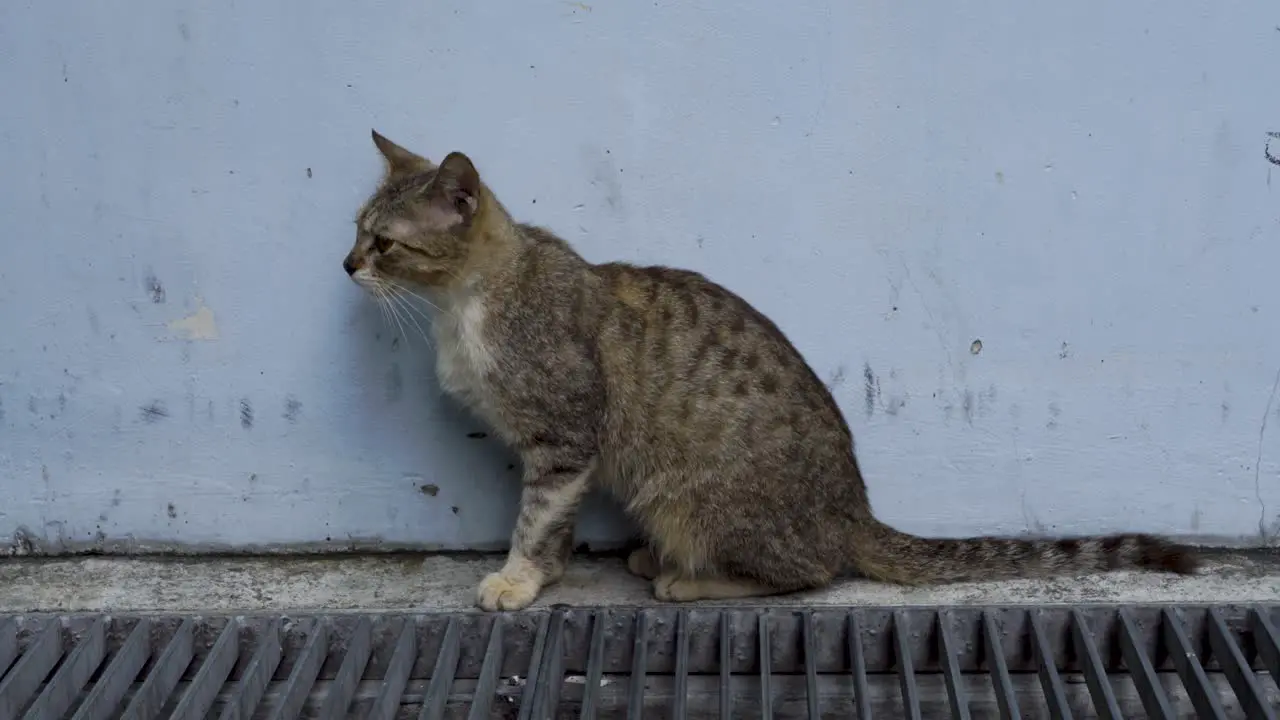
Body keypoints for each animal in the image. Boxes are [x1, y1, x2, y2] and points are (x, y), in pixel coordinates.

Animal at [345, 131, 1192, 607]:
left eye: (385, 243)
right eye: (357, 229)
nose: (348, 264)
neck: (468, 302)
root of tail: (853, 510)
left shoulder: (564, 436)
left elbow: (536, 515)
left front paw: (517, 578)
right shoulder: (560, 452)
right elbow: (555, 524)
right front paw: (544, 575)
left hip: (690, 497)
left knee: (812, 571)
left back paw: (687, 576)